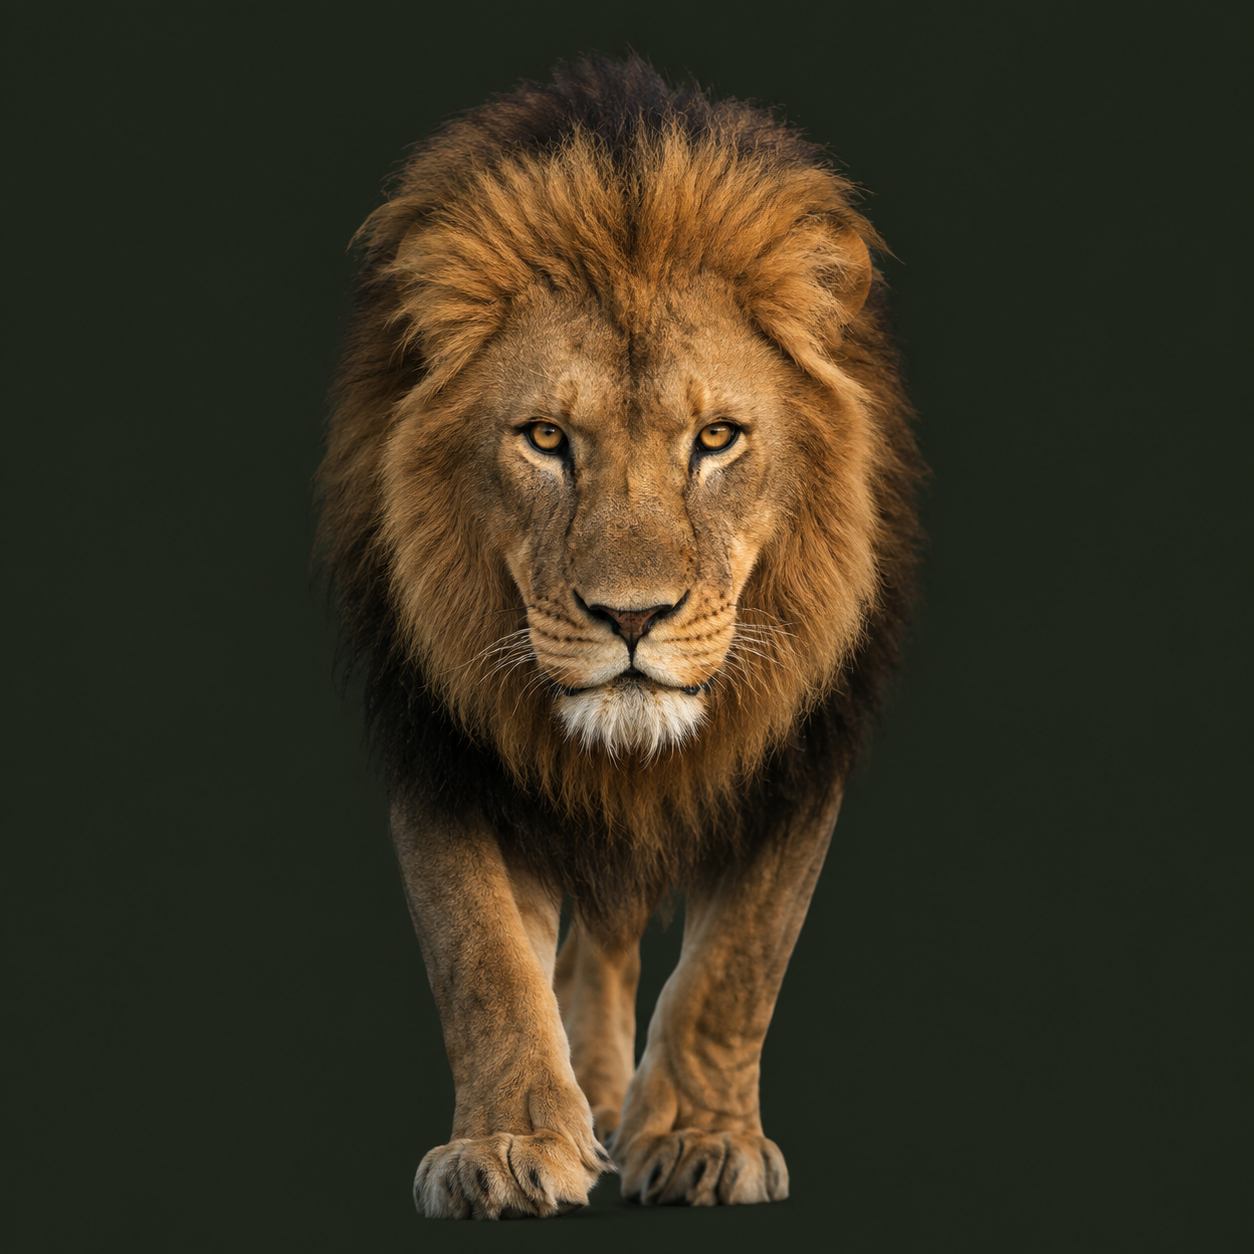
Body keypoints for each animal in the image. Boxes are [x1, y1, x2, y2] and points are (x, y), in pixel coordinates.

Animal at [317, 55, 922, 1218]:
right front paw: (510, 1144)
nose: (632, 617)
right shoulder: (436, 737)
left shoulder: (801, 750)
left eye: (718, 438)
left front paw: (699, 1141)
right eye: (547, 438)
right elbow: (481, 955)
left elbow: (739, 963)